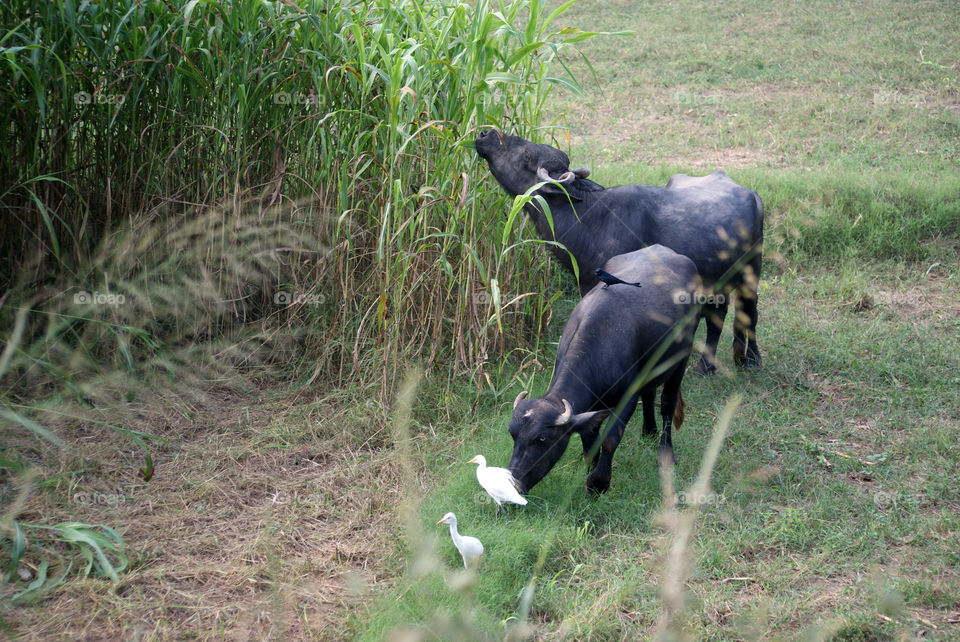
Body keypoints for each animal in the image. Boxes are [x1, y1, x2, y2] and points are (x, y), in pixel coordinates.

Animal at [474, 129, 764, 375]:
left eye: (526, 154)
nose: (485, 134)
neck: (587, 217)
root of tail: (751, 195)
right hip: (717, 280)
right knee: (719, 314)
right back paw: (711, 364)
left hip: (751, 271)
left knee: (749, 311)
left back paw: (750, 360)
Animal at [506, 244, 699, 495]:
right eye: (513, 434)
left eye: (542, 439)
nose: (514, 483)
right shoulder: (590, 409)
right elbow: (590, 442)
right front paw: (590, 472)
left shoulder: (627, 398)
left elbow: (609, 439)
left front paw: (598, 483)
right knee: (649, 393)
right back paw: (649, 431)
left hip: (681, 356)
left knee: (667, 404)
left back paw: (665, 451)